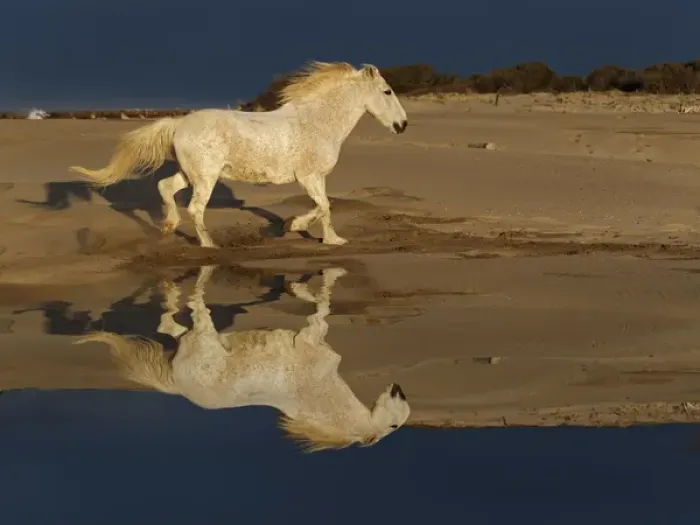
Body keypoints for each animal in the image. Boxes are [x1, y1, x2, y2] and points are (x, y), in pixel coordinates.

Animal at [69, 61, 409, 248]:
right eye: (387, 91)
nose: (403, 125)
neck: (316, 122)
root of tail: (179, 123)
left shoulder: (316, 178)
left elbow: (323, 206)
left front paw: (310, 232)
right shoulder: (309, 177)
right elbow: (325, 206)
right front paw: (318, 235)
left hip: (191, 174)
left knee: (166, 188)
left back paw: (168, 227)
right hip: (205, 177)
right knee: (195, 208)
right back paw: (209, 245)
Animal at [74, 265, 410, 453]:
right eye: (395, 425)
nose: (400, 390)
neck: (323, 395)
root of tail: (178, 386)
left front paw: (297, 286)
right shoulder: (310, 338)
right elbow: (323, 305)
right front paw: (306, 283)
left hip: (193, 338)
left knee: (169, 326)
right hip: (204, 332)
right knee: (191, 308)